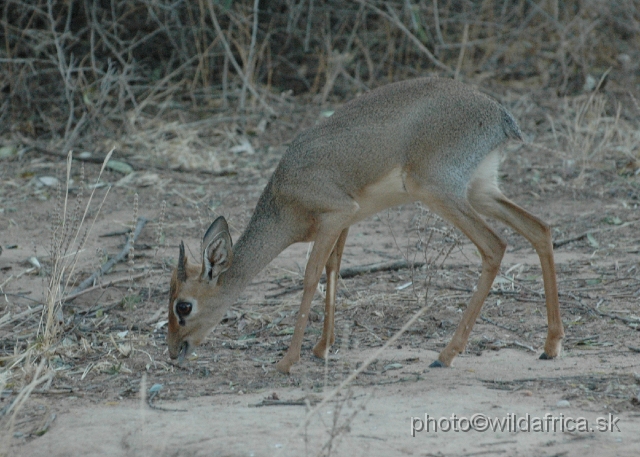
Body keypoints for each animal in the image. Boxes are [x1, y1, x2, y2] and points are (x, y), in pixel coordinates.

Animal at [168, 77, 564, 374]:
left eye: (183, 306)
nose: (173, 351)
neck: (284, 197)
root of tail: (500, 115)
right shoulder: (345, 221)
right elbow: (334, 270)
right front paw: (321, 348)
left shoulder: (336, 214)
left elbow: (311, 276)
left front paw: (286, 361)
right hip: (481, 190)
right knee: (539, 229)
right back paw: (550, 345)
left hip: (439, 191)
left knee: (495, 245)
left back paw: (445, 355)